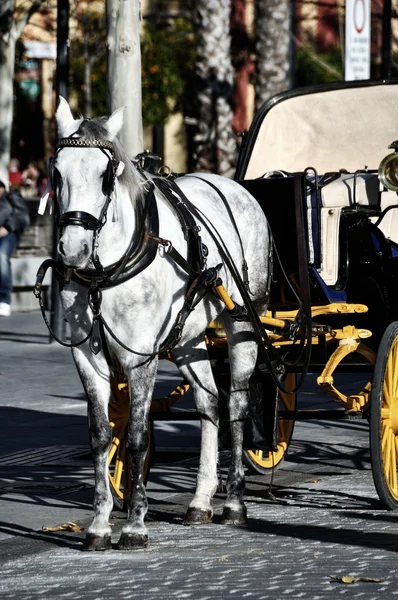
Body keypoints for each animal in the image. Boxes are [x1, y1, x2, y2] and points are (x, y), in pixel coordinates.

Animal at [52, 99, 270, 552]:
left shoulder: (140, 357)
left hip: (243, 323)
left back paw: (234, 502)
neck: (104, 274)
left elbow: (136, 435)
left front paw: (135, 524)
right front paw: (99, 524)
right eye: (56, 171)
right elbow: (101, 435)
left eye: (106, 176)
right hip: (187, 340)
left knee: (236, 406)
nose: (72, 250)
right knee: (209, 403)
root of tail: (232, 186)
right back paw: (201, 500)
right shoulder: (86, 357)